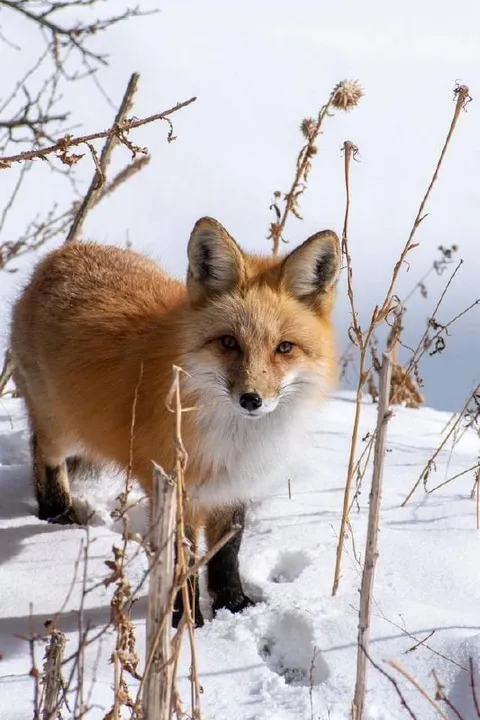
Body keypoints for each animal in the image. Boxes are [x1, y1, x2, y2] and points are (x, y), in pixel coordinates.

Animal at [9, 216, 340, 627]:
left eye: (284, 348)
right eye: (229, 342)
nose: (251, 399)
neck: (231, 435)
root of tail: (60, 254)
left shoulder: (232, 487)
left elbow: (227, 553)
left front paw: (233, 604)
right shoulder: (173, 488)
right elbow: (182, 561)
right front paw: (186, 621)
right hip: (63, 428)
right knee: (43, 451)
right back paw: (56, 511)